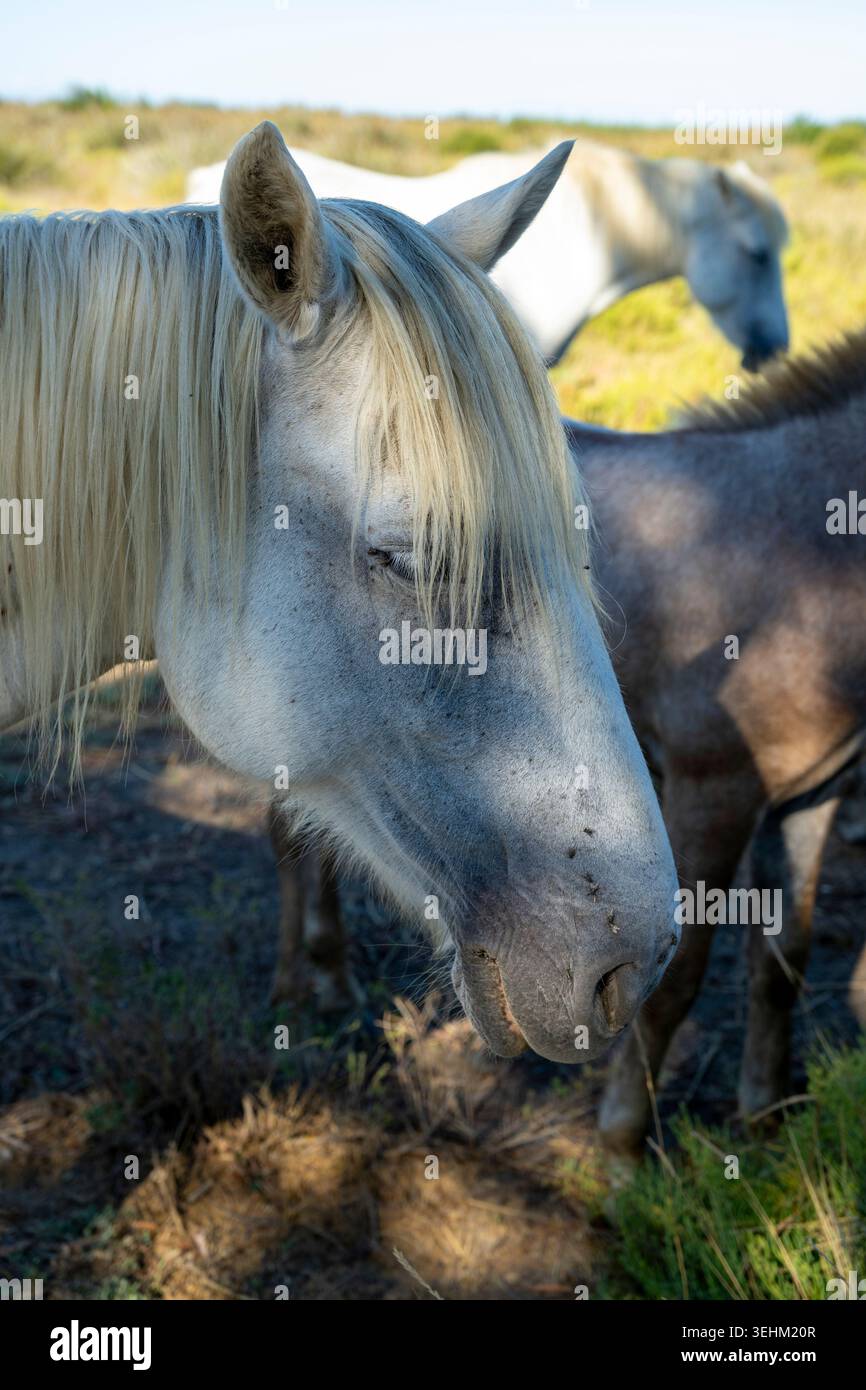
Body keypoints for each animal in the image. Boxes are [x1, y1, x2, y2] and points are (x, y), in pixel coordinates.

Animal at [269, 331, 866, 1143]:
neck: (791, 561)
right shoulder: (713, 790)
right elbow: (677, 978)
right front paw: (621, 1142)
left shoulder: (811, 797)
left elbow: (782, 960)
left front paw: (764, 1118)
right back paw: (300, 984)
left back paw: (329, 978)